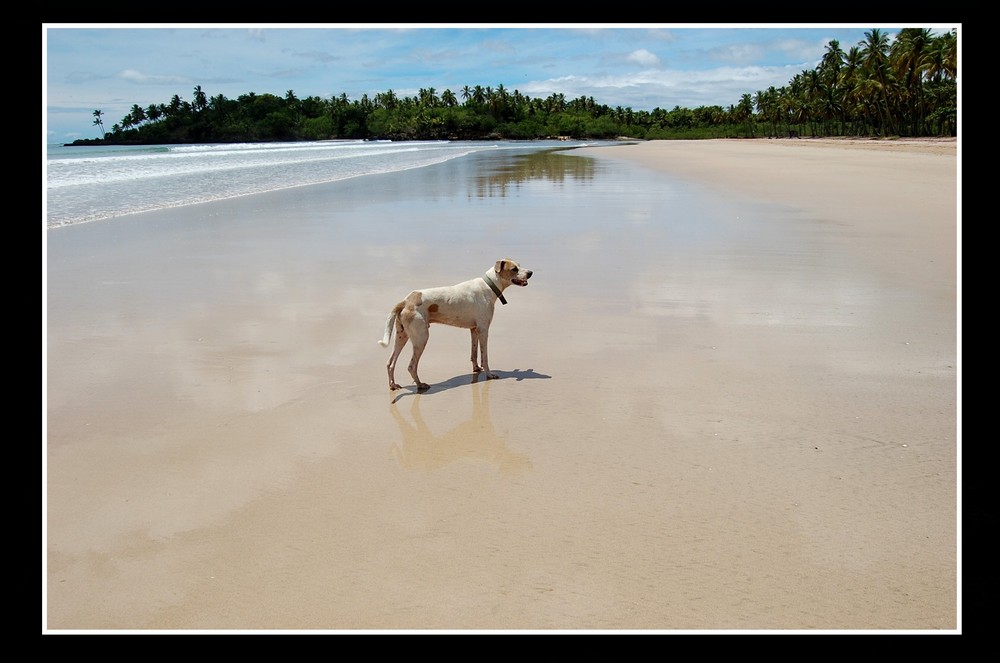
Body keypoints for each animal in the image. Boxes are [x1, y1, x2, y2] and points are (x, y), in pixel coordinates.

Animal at [378, 260, 532, 392]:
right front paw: (489, 374)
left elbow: (474, 353)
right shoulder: (483, 330)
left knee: (390, 363)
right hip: (421, 338)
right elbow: (485, 357)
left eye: (519, 265)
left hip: (402, 336)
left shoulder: (474, 329)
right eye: (514, 269)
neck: (489, 285)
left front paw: (476, 368)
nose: (531, 272)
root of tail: (406, 301)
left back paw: (393, 385)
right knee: (411, 366)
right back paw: (420, 385)